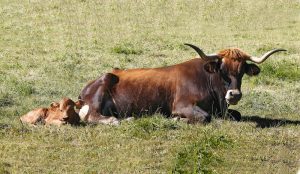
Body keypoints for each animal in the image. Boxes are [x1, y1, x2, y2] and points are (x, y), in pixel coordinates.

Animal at [76, 44, 284, 124]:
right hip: (103, 85)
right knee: (93, 116)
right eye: (222, 69)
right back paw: (117, 120)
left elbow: (237, 114)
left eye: (242, 71)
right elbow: (205, 117)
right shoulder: (182, 105)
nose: (234, 95)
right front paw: (176, 119)